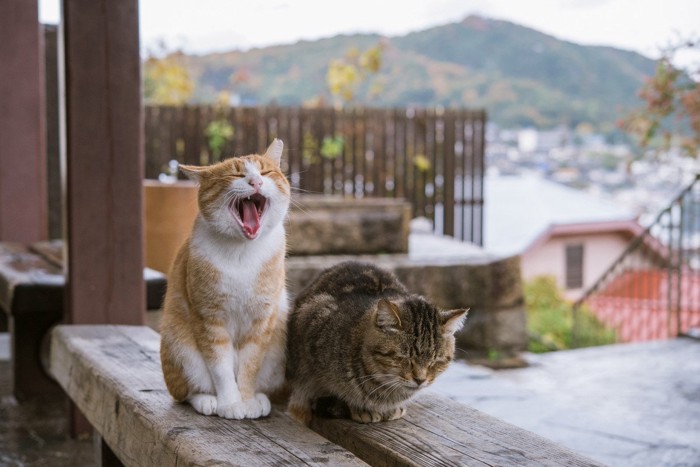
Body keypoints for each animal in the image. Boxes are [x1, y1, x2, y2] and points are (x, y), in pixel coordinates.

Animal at [159, 139, 290, 420]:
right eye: (236, 175)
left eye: (265, 172)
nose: (256, 182)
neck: (242, 253)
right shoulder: (210, 319)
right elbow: (220, 367)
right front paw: (230, 403)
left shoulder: (262, 320)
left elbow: (250, 366)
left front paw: (247, 400)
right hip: (179, 344)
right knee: (186, 392)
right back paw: (208, 401)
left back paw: (260, 399)